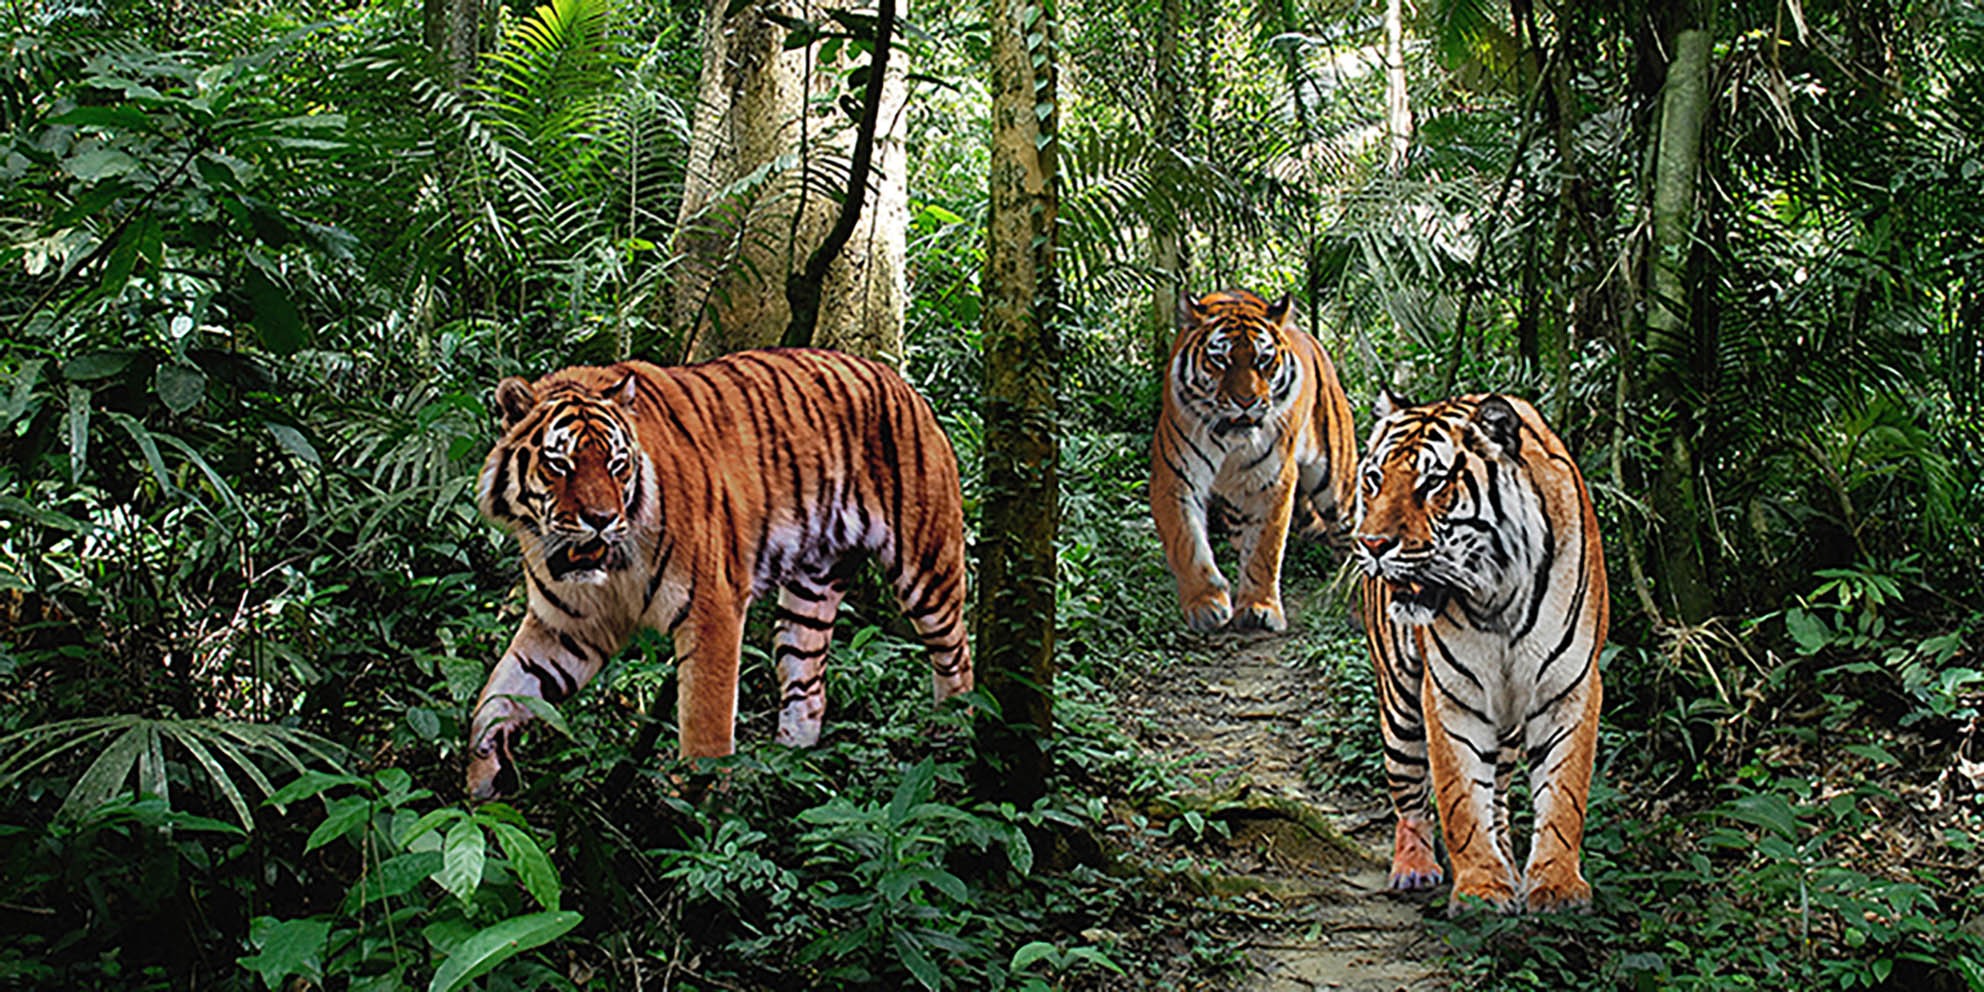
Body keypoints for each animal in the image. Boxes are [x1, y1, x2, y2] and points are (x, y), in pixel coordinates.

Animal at [464, 348, 973, 800]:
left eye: (617, 464)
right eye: (559, 463)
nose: (602, 519)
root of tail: (899, 381)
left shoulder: (712, 610)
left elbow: (704, 734)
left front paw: (692, 821)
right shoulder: (568, 627)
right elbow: (496, 695)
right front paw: (481, 779)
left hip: (927, 567)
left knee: (956, 658)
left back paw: (952, 746)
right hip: (811, 592)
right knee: (808, 689)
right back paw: (782, 775)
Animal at [1149, 289, 1358, 632]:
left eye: (1263, 360)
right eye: (1220, 360)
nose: (1246, 401)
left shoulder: (1274, 481)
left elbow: (1265, 548)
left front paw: (1260, 608)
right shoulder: (1174, 477)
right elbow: (1186, 542)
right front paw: (1206, 603)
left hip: (1338, 487)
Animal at [1352, 391, 1607, 914]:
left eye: (1432, 482)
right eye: (1374, 479)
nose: (1371, 545)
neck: (1499, 597)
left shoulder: (1570, 687)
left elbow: (1564, 794)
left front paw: (1556, 886)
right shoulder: (1452, 695)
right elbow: (1460, 800)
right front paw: (1481, 891)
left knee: (1500, 794)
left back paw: (1509, 861)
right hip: (1400, 703)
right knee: (1409, 791)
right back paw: (1415, 867)